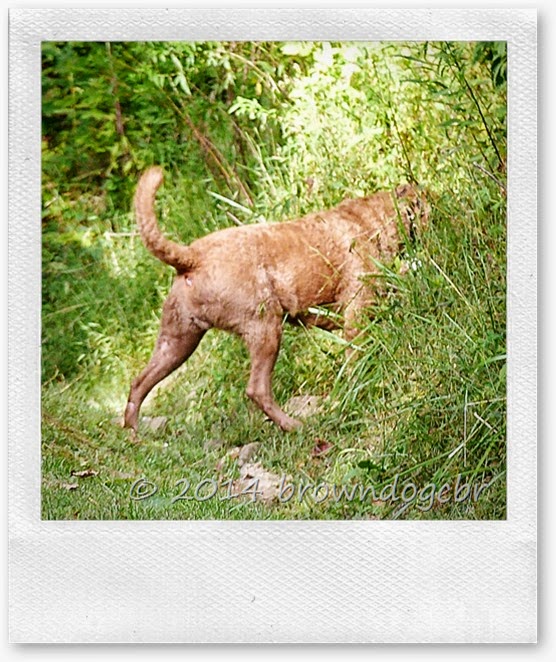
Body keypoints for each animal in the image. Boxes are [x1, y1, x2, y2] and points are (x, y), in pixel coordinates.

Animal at [124, 167, 428, 433]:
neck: (375, 219)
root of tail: (191, 257)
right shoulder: (356, 308)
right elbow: (355, 355)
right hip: (264, 329)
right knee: (257, 389)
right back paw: (294, 426)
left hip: (178, 340)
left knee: (138, 383)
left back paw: (135, 436)